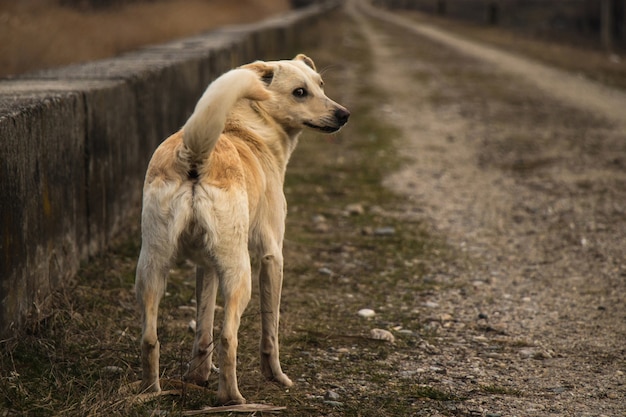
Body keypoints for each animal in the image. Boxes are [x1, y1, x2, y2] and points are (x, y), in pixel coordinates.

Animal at [134, 53, 348, 402]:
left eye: (321, 84)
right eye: (300, 92)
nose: (344, 114)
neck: (247, 127)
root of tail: (194, 155)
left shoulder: (206, 266)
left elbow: (203, 326)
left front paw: (197, 377)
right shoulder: (272, 256)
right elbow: (270, 330)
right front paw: (277, 378)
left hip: (151, 268)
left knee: (151, 338)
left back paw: (152, 391)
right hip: (239, 274)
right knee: (228, 336)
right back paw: (232, 398)